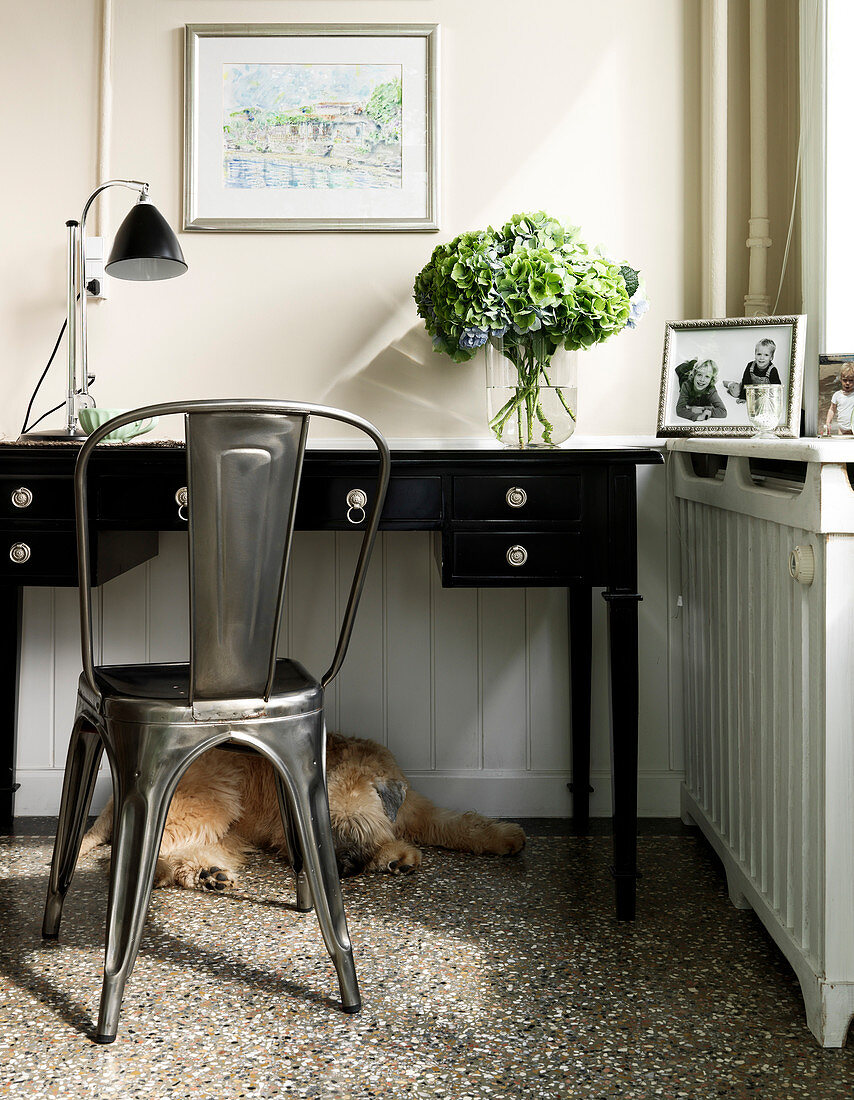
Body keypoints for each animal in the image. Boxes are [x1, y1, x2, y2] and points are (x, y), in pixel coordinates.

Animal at [78, 730, 526, 893]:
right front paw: (396, 855)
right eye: (319, 829)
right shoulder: (285, 834)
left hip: (224, 825)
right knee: (133, 856)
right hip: (211, 802)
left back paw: (207, 873)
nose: (338, 870)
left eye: (358, 828)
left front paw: (505, 836)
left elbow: (458, 823)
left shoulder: (415, 806)